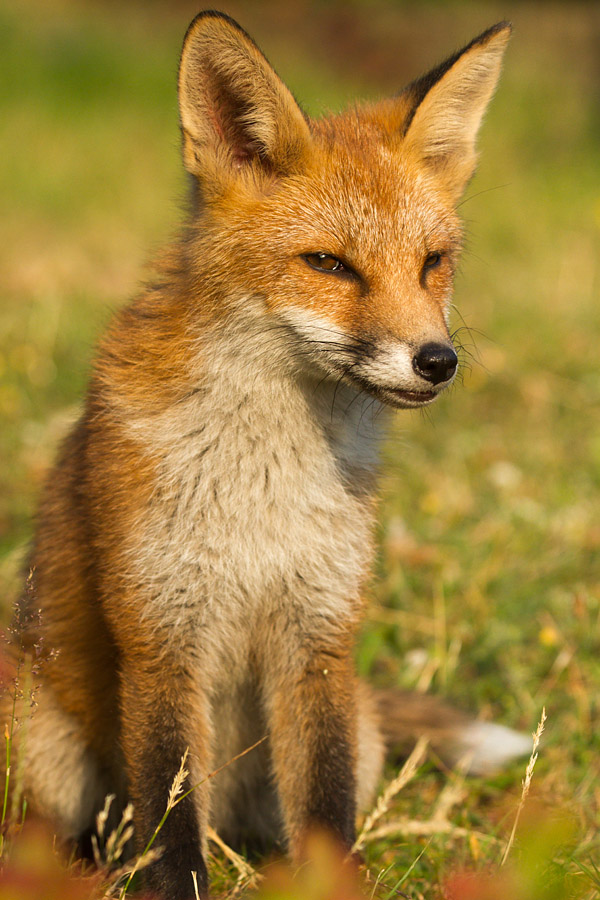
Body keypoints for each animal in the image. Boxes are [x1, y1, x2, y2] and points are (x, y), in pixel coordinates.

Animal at [5, 10, 526, 900]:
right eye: (328, 264)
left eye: (432, 264)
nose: (437, 361)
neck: (263, 484)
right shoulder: (161, 637)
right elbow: (170, 822)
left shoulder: (317, 634)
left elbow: (324, 803)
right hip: (43, 745)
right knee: (70, 832)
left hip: (358, 730)